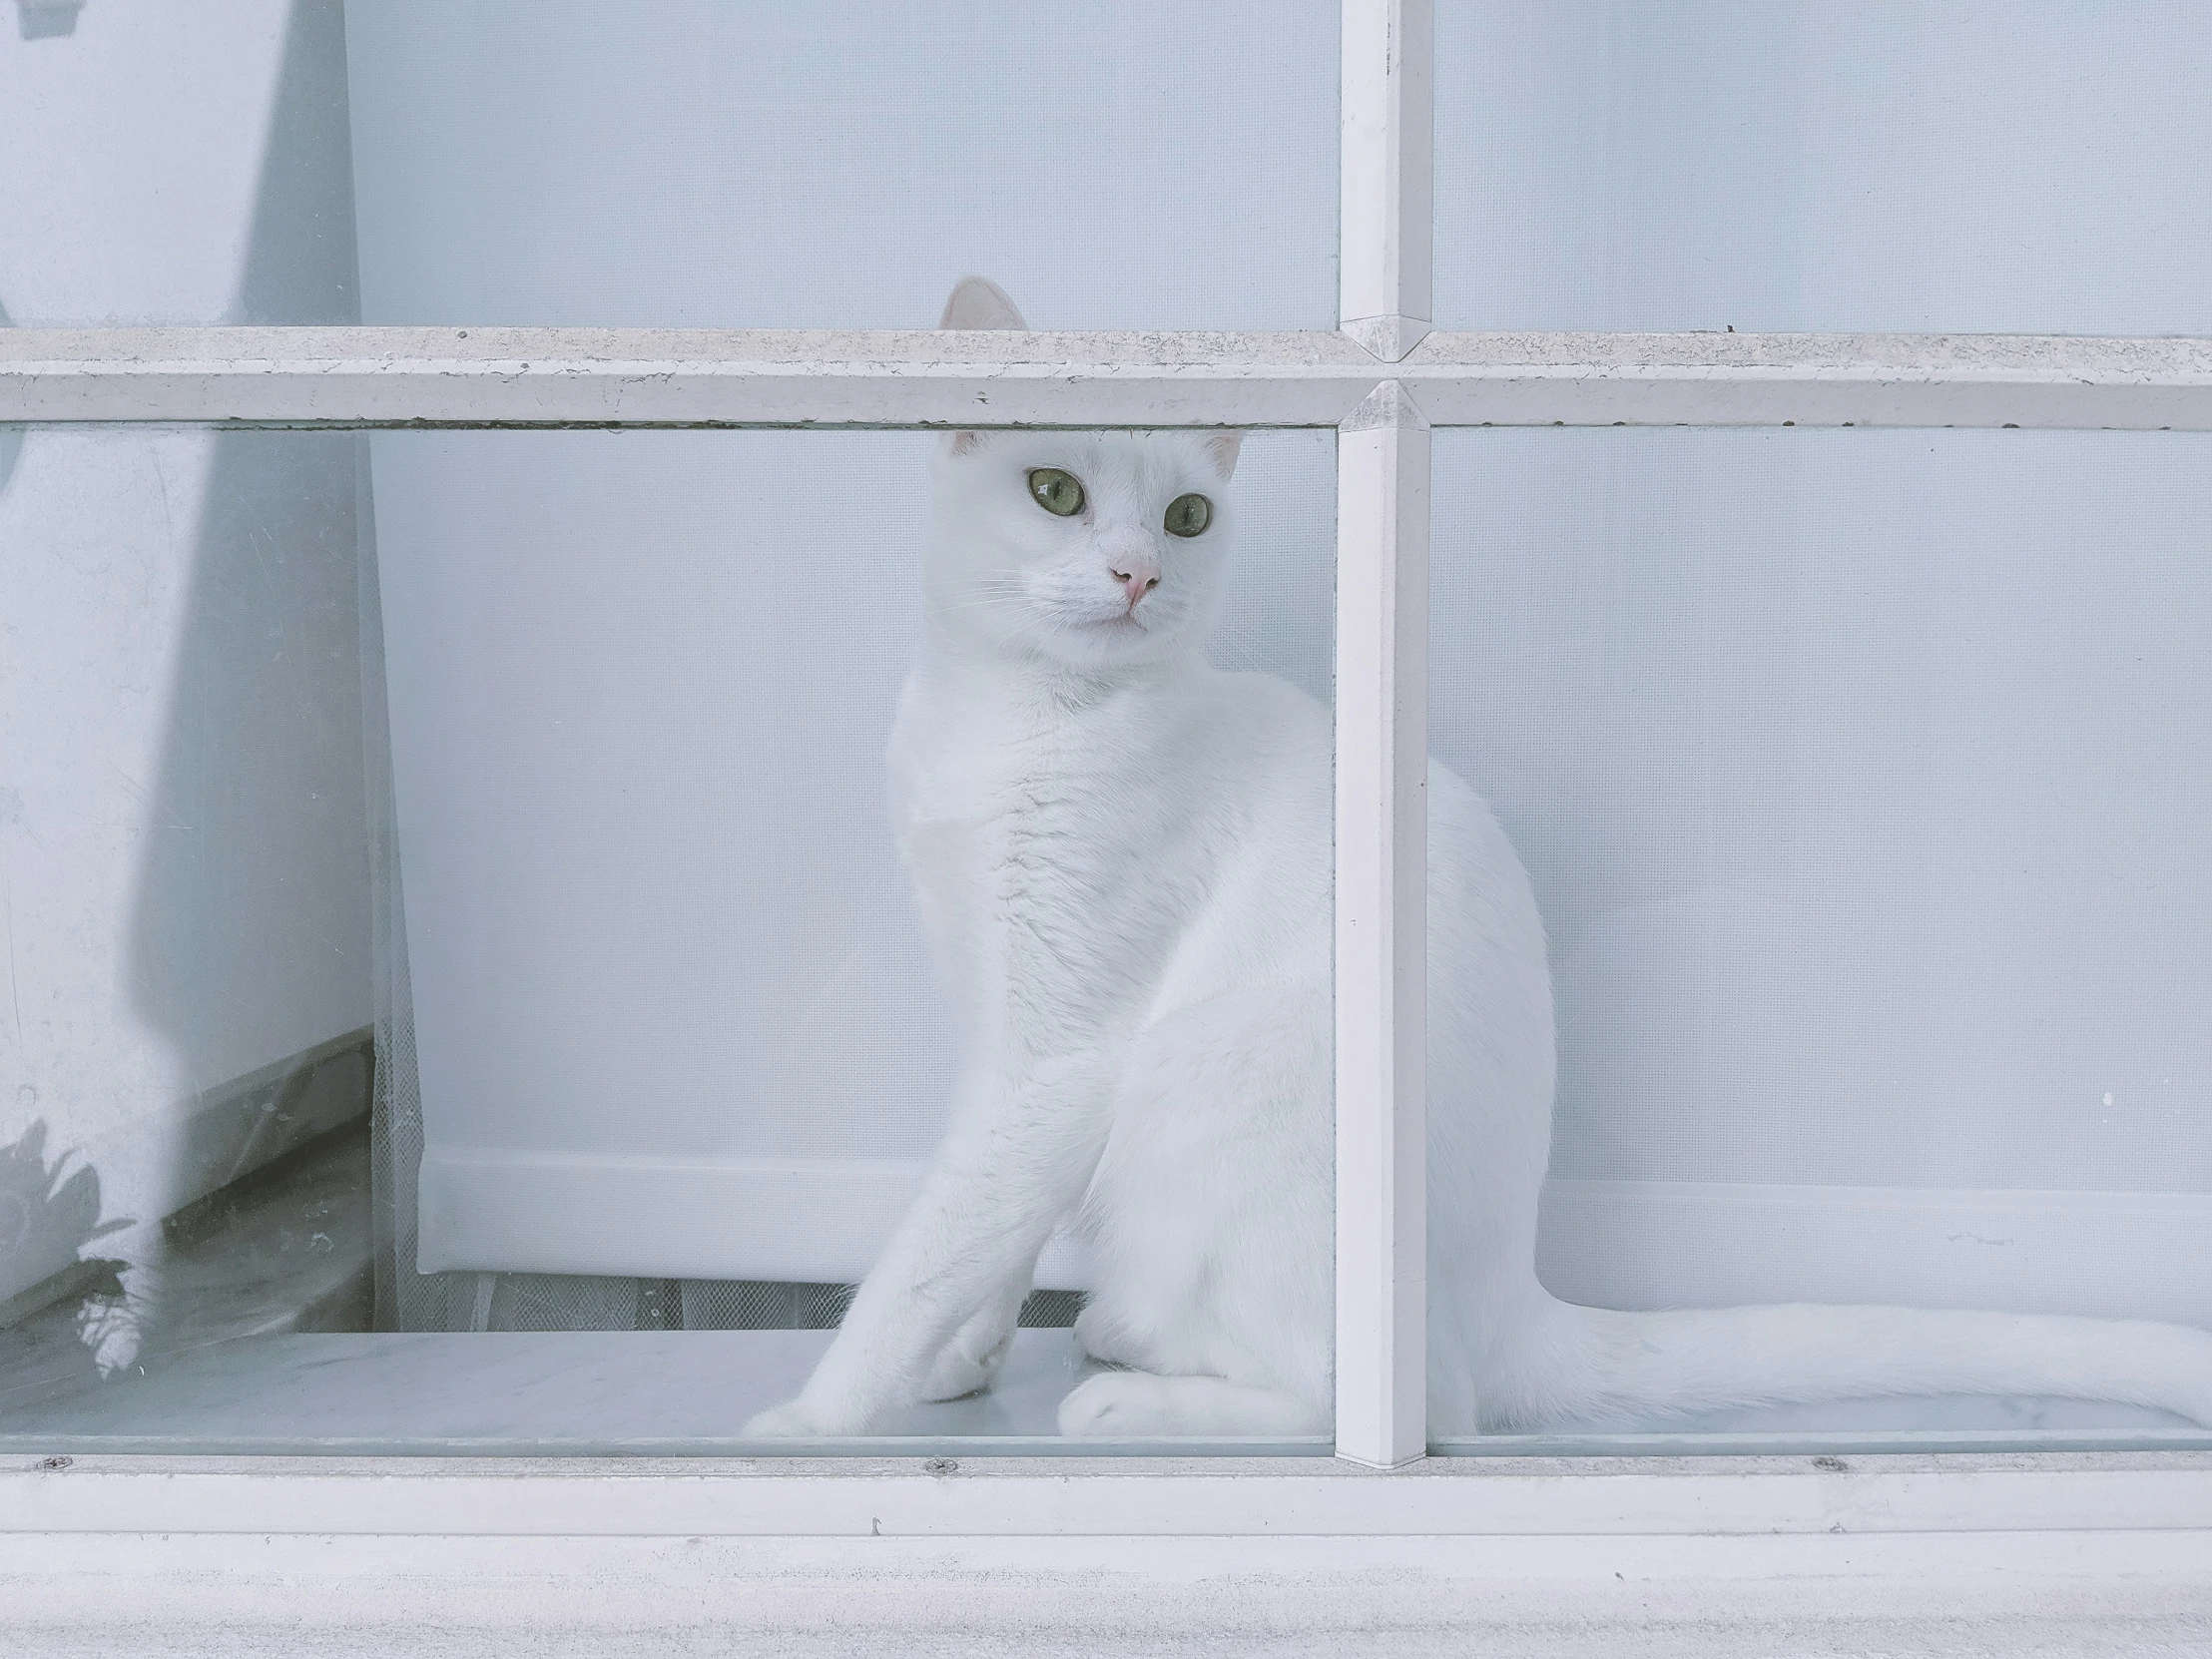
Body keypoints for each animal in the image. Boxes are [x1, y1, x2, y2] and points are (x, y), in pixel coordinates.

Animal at [743, 276, 2212, 1441]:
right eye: (1055, 489)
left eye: (1186, 515)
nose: (1135, 573)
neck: (1012, 723)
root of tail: (1512, 1294)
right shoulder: (991, 1025)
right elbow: (984, 1238)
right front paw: (965, 1356)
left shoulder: (1060, 1056)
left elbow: (931, 1248)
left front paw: (818, 1417)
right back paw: (1118, 1335)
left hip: (1208, 1102)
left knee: (1378, 1400)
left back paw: (1133, 1393)